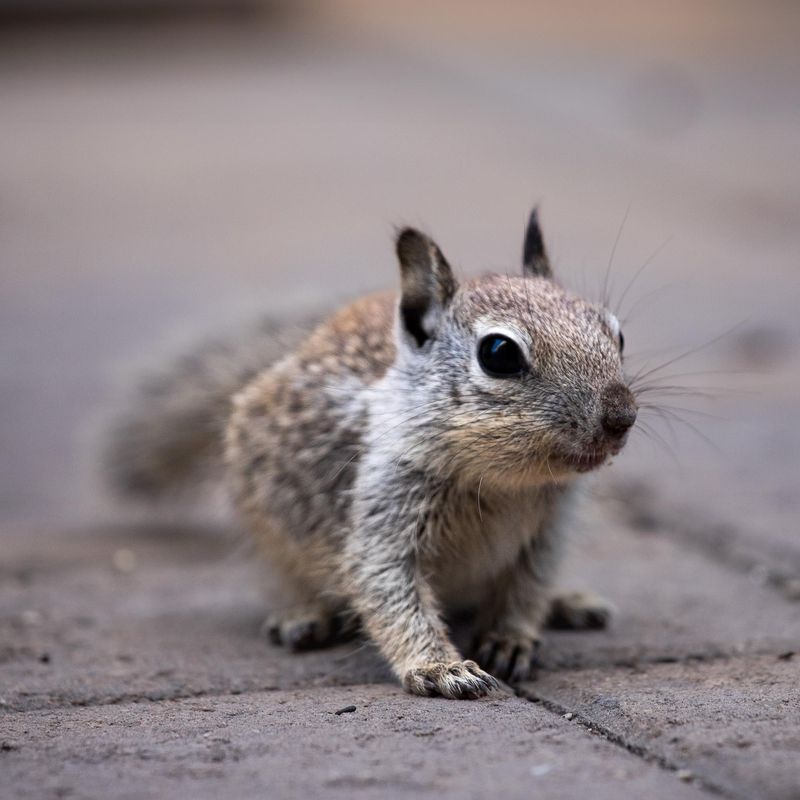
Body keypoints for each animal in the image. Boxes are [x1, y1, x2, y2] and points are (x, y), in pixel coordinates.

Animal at [105, 209, 637, 699]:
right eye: (499, 353)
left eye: (617, 333)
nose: (622, 416)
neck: (505, 482)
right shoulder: (386, 504)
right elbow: (388, 588)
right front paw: (441, 667)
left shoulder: (552, 528)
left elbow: (528, 587)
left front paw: (511, 637)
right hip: (273, 540)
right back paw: (305, 615)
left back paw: (568, 603)